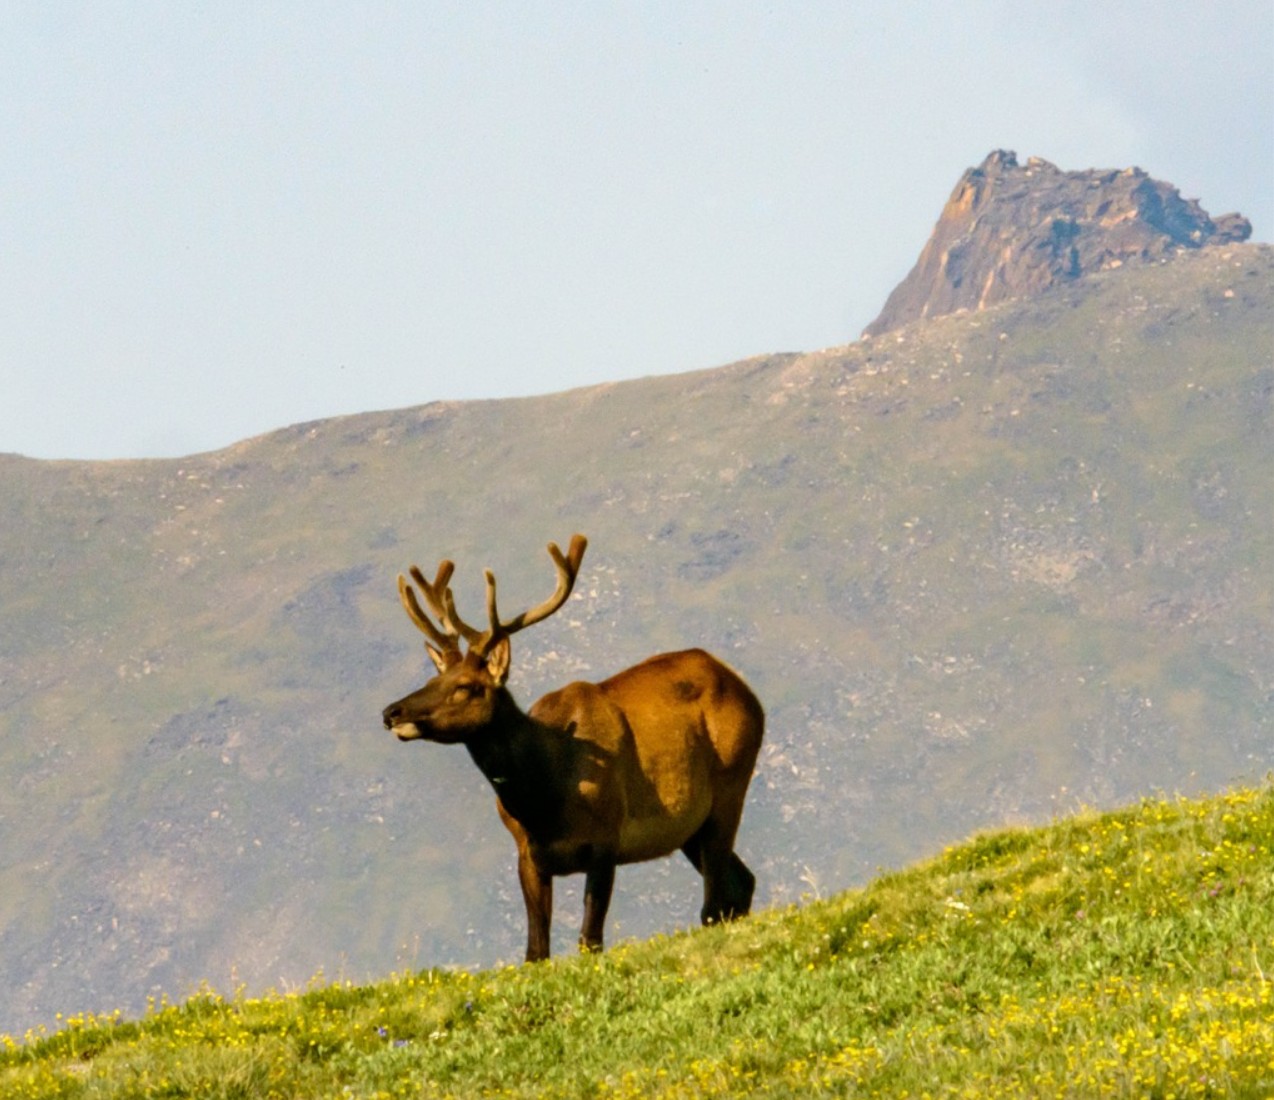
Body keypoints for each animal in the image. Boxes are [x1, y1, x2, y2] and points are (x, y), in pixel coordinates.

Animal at [381, 534, 764, 962]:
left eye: (465, 686)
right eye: (434, 679)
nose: (392, 712)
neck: (544, 800)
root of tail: (745, 689)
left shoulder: (607, 838)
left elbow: (589, 940)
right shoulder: (527, 854)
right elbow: (536, 951)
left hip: (731, 783)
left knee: (715, 901)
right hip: (690, 827)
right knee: (741, 882)